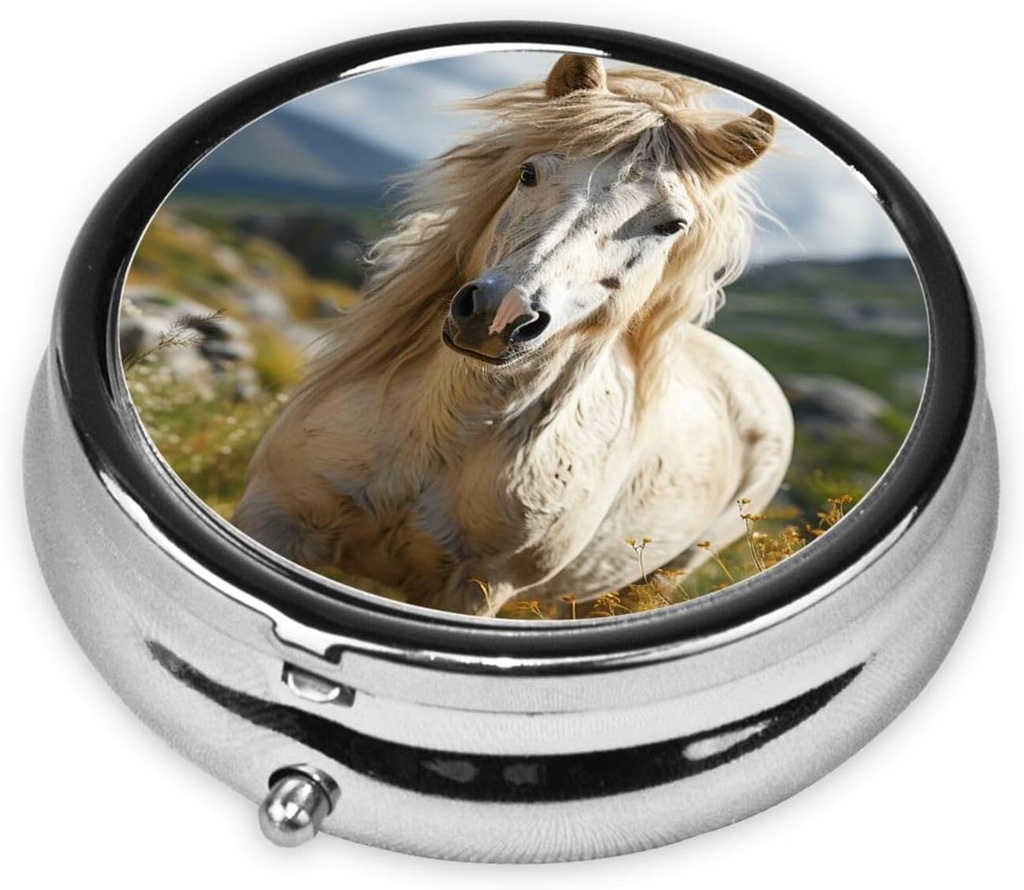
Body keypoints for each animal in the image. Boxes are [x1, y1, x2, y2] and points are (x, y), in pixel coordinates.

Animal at [232, 53, 794, 617]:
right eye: (529, 173)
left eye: (672, 225)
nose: (499, 316)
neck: (437, 435)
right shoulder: (273, 517)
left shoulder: (476, 591)